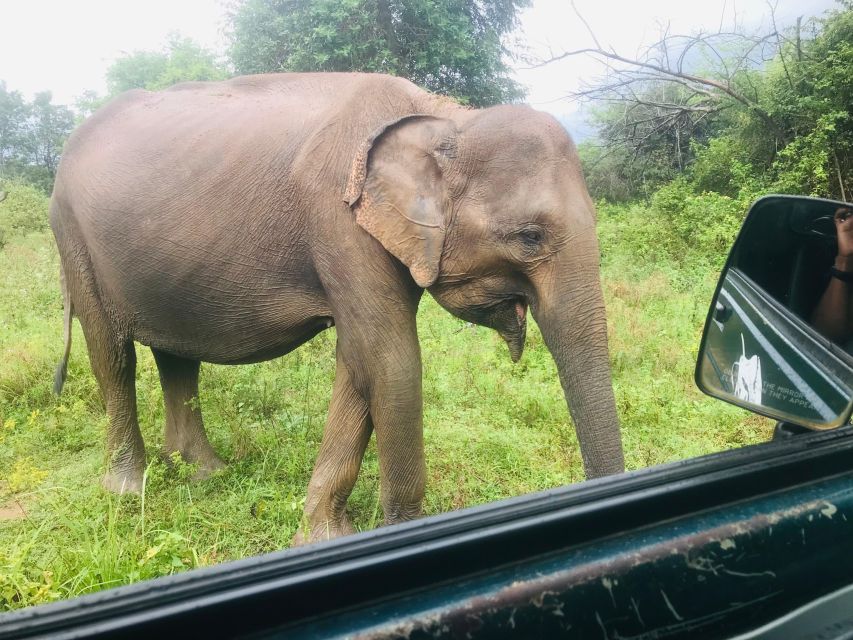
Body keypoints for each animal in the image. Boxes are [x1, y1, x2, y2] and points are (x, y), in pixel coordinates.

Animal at [51, 72, 624, 544]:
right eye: (530, 237)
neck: (445, 116)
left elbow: (359, 364)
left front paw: (319, 536)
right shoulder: (338, 219)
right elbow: (391, 364)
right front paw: (397, 536)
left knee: (177, 357)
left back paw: (204, 473)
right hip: (72, 234)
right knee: (112, 355)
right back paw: (129, 491)